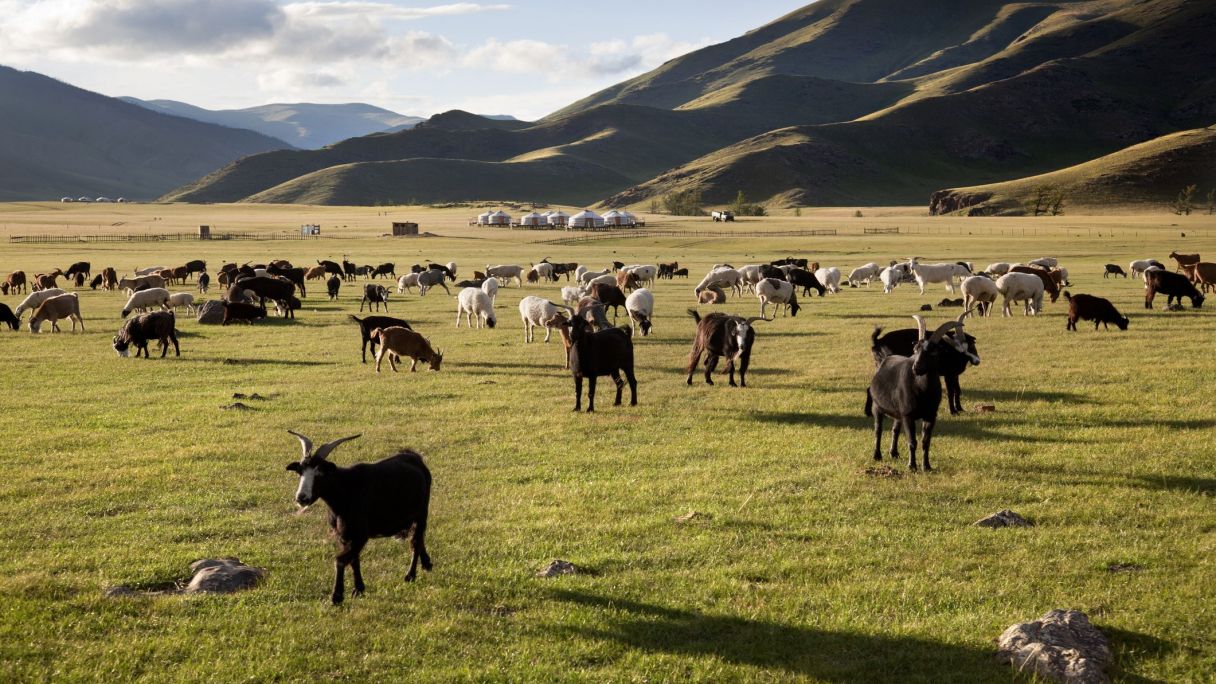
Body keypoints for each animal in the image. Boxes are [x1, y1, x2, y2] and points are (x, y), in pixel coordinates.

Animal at [284, 430, 432, 601]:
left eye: (319, 472)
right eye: (300, 471)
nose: (302, 498)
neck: (346, 491)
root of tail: (415, 457)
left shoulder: (360, 535)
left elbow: (341, 560)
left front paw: (337, 596)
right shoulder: (343, 536)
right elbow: (354, 560)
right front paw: (358, 589)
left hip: (422, 512)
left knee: (416, 540)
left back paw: (410, 575)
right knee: (417, 537)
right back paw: (427, 564)